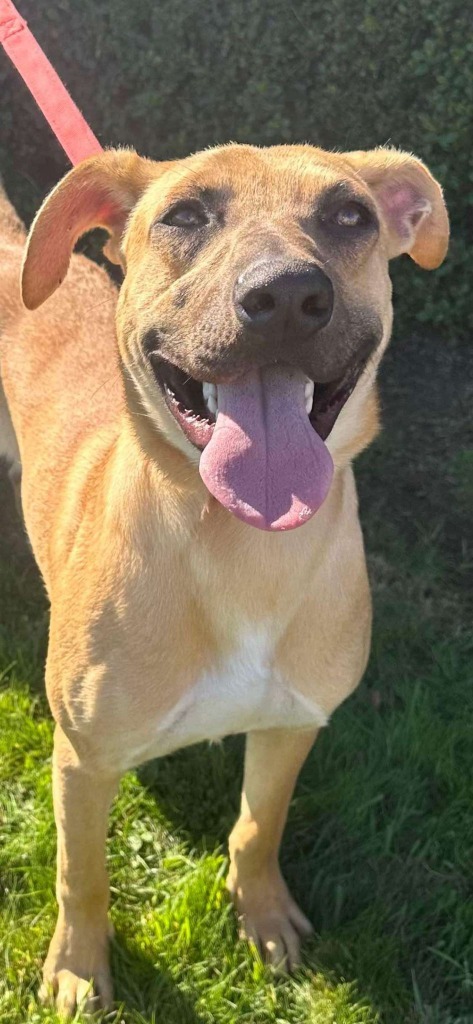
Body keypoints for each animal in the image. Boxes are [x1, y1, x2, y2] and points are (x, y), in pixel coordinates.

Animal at [0, 146, 448, 1015]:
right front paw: (77, 968)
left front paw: (263, 913)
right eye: (184, 214)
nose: (287, 297)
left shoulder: (293, 724)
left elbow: (257, 826)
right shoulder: (82, 762)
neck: (245, 552)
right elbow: (81, 877)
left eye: (349, 214)